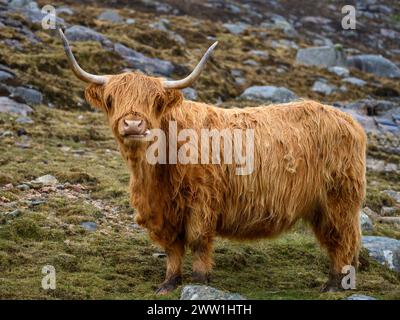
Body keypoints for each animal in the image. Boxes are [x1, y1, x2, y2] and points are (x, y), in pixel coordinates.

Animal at [57, 28, 368, 294]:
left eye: (155, 101)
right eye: (111, 99)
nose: (133, 125)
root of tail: (348, 119)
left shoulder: (202, 202)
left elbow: (197, 241)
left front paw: (200, 279)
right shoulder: (165, 212)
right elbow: (172, 247)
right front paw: (169, 282)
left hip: (339, 199)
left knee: (344, 239)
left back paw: (334, 285)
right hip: (322, 206)